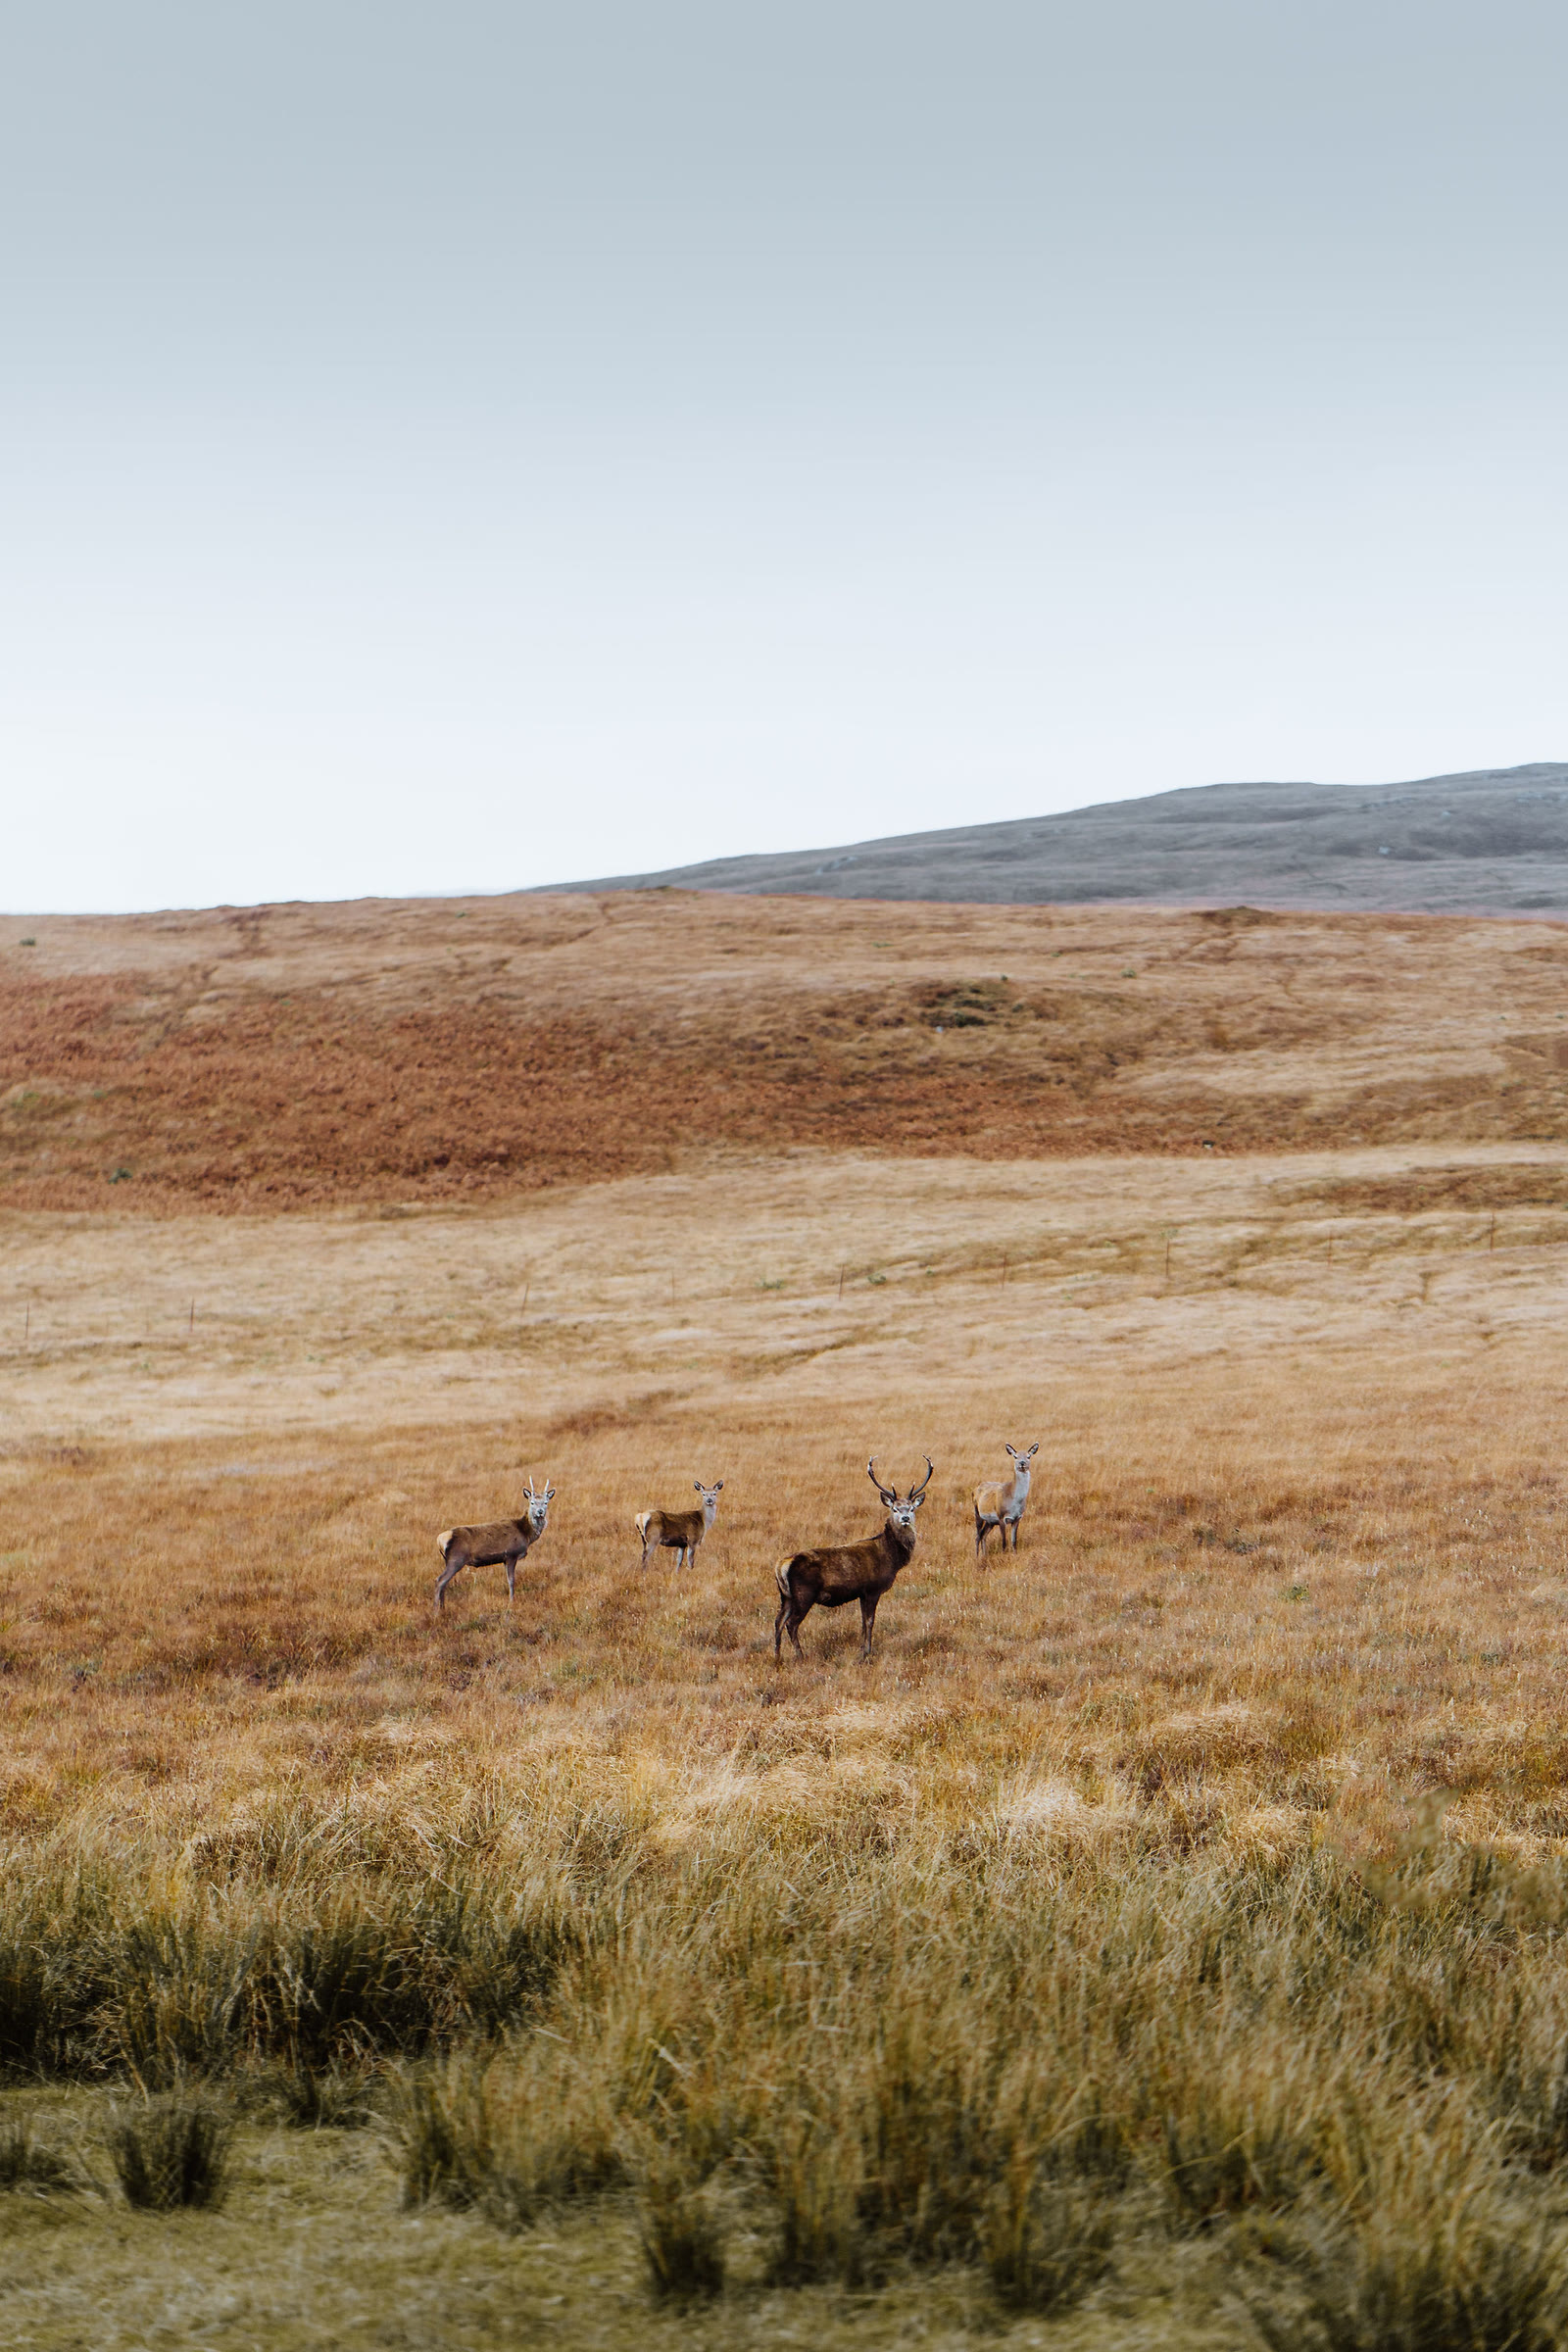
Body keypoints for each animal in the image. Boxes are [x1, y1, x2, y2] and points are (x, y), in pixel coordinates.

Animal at [434, 1477, 555, 1614]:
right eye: (532, 1503)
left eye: (546, 1502)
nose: (540, 1512)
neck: (525, 1534)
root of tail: (440, 1539)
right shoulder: (511, 1554)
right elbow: (511, 1580)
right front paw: (511, 1602)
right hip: (456, 1559)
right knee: (439, 1581)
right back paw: (436, 1611)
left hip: (448, 1560)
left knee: (444, 1583)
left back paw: (443, 1608)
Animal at [774, 1457, 934, 1663]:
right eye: (895, 1509)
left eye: (912, 1508)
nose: (905, 1518)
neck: (892, 1558)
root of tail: (781, 1566)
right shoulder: (873, 1589)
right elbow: (870, 1621)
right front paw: (867, 1652)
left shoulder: (861, 1593)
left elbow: (863, 1623)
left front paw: (862, 1649)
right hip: (804, 1593)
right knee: (791, 1624)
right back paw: (800, 1656)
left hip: (786, 1596)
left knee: (778, 1621)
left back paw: (777, 1656)